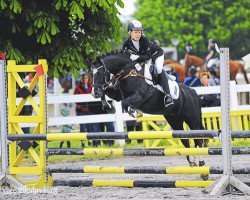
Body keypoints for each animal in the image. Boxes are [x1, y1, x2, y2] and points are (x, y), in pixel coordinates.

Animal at [92, 50, 209, 180]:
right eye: (92, 73)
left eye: (100, 72)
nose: (95, 93)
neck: (129, 72)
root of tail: (192, 91)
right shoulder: (118, 94)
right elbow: (109, 93)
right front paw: (108, 106)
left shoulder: (140, 96)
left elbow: (125, 103)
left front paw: (134, 112)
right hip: (175, 120)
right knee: (185, 140)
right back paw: (192, 161)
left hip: (192, 120)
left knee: (198, 140)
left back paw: (203, 168)